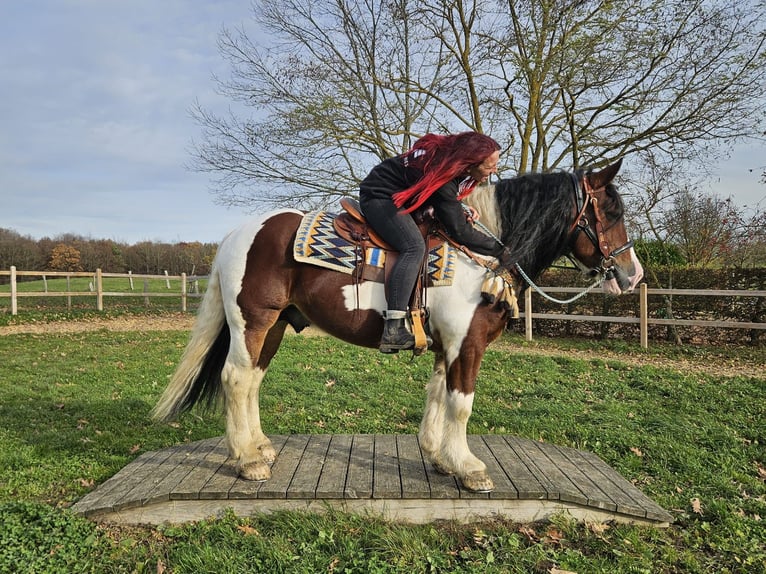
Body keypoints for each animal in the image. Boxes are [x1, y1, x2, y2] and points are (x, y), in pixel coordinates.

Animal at [152, 159, 643, 493]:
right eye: (612, 213)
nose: (633, 275)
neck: (480, 258)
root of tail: (236, 235)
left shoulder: (449, 345)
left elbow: (438, 396)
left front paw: (440, 457)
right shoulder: (468, 344)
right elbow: (461, 405)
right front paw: (469, 467)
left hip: (273, 327)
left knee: (252, 379)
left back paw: (260, 447)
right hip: (252, 322)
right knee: (236, 380)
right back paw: (246, 461)